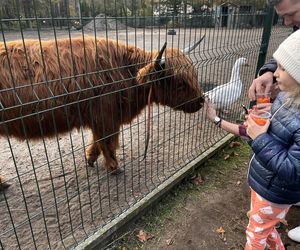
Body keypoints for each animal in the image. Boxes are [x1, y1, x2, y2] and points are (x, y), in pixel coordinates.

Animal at [0, 36, 205, 187]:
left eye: (195, 75)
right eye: (180, 83)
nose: (202, 101)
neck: (126, 72)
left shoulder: (100, 118)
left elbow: (97, 141)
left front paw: (90, 158)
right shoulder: (106, 116)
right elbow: (107, 141)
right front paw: (114, 167)